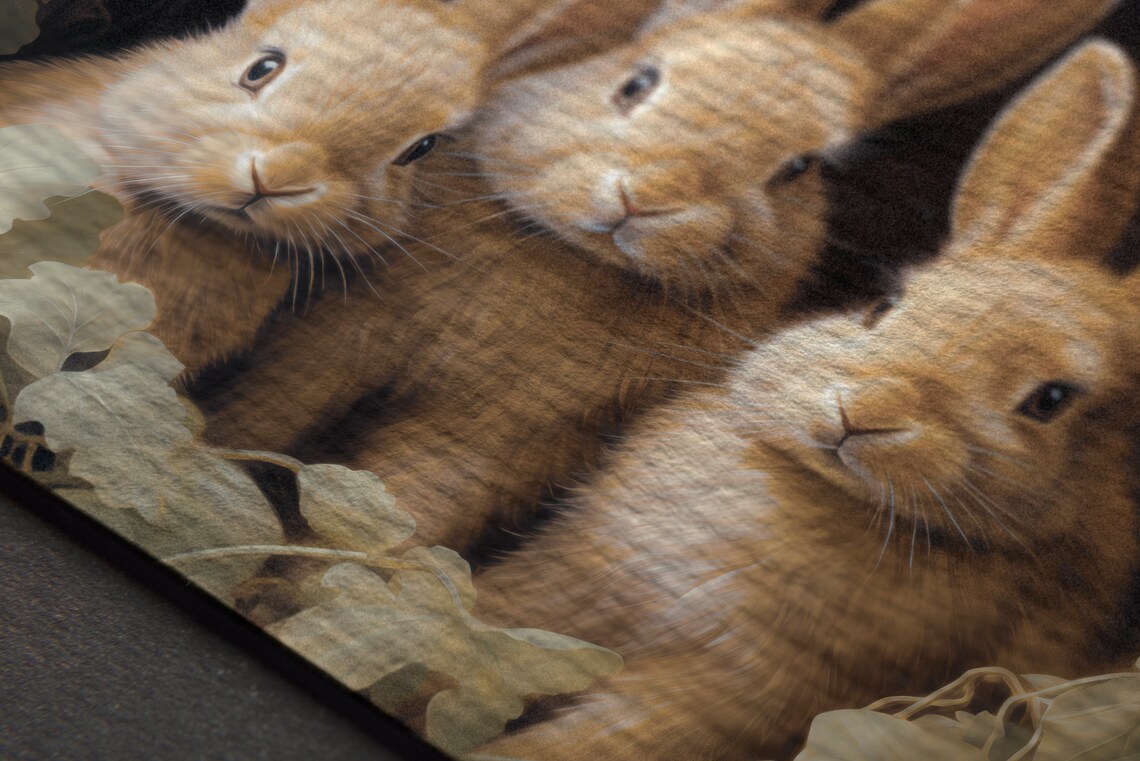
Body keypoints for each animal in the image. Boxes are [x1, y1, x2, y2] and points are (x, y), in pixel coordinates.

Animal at [197, 0, 1122, 560]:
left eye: (797, 167)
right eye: (636, 79)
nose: (644, 196)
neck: (576, 260)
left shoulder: (498, 433)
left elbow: (408, 500)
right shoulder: (354, 327)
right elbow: (271, 407)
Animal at [469, 39, 1140, 761]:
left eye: (1049, 400)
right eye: (883, 306)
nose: (861, 410)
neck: (817, 488)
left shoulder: (723, 696)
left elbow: (581, 739)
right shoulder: (571, 575)